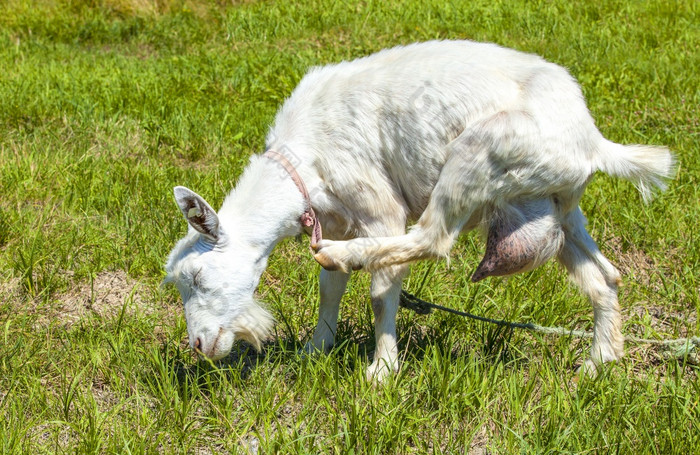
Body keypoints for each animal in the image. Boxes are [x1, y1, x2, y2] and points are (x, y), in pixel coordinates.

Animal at [167, 40, 676, 382]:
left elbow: (380, 291)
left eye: (197, 277)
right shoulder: (334, 217)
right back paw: (598, 363)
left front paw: (382, 369)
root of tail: (592, 140)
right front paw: (316, 349)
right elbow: (329, 288)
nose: (198, 345)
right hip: (557, 207)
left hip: (477, 153)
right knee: (605, 277)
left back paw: (347, 255)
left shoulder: (376, 205)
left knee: (432, 239)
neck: (301, 156)